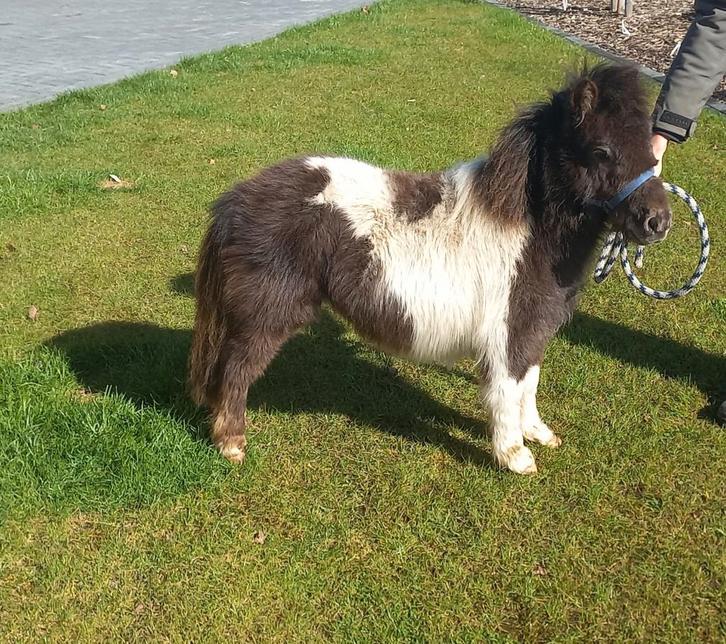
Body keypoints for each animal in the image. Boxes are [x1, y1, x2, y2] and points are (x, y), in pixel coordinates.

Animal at [189, 64, 671, 474]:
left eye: (650, 150)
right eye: (601, 150)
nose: (658, 221)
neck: (527, 231)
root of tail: (232, 203)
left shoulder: (533, 330)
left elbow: (528, 385)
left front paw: (537, 433)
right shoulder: (507, 334)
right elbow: (506, 391)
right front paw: (514, 456)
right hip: (266, 316)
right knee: (236, 370)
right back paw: (231, 444)